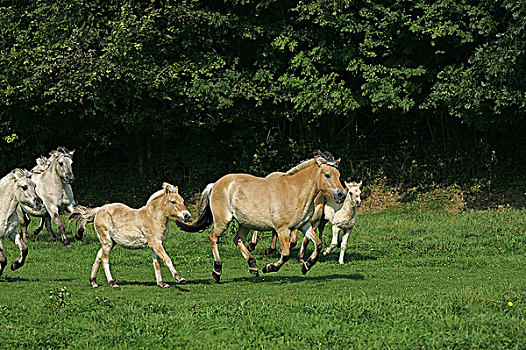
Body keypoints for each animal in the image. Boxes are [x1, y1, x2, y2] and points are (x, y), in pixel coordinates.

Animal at [177, 152, 346, 284]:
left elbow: (318, 244)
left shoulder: (304, 226)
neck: (295, 191)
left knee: (238, 240)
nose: (342, 195)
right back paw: (217, 271)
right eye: (327, 175)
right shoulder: (282, 230)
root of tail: (215, 184)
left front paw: (306, 266)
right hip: (223, 221)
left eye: (338, 175)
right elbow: (285, 254)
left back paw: (253, 267)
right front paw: (270, 267)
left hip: (244, 223)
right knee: (213, 237)